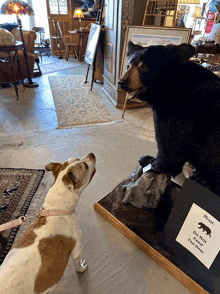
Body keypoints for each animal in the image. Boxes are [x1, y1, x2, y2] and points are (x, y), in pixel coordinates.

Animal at [0, 153, 96, 292]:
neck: (56, 209)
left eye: (79, 158)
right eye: (85, 166)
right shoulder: (77, 248)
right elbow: (77, 264)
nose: (91, 154)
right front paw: (81, 268)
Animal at [118, 41, 220, 196]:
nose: (122, 82)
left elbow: (170, 146)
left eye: (143, 66)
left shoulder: (182, 113)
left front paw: (150, 162)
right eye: (128, 66)